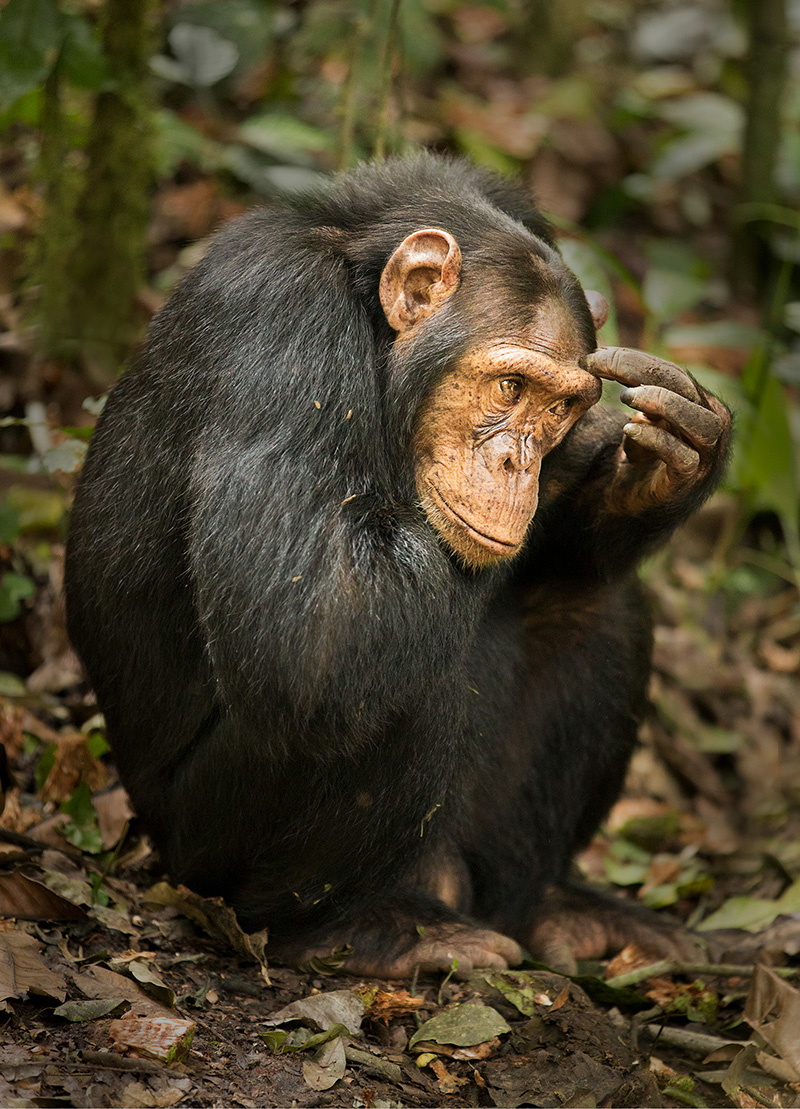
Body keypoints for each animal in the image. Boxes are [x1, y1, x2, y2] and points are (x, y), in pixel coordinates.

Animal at [67, 151, 732, 975]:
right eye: (510, 386)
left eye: (556, 407)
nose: (519, 462)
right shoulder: (282, 331)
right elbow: (312, 632)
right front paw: (580, 463)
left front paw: (671, 459)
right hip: (205, 850)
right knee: (384, 682)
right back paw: (353, 928)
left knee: (590, 606)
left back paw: (553, 908)